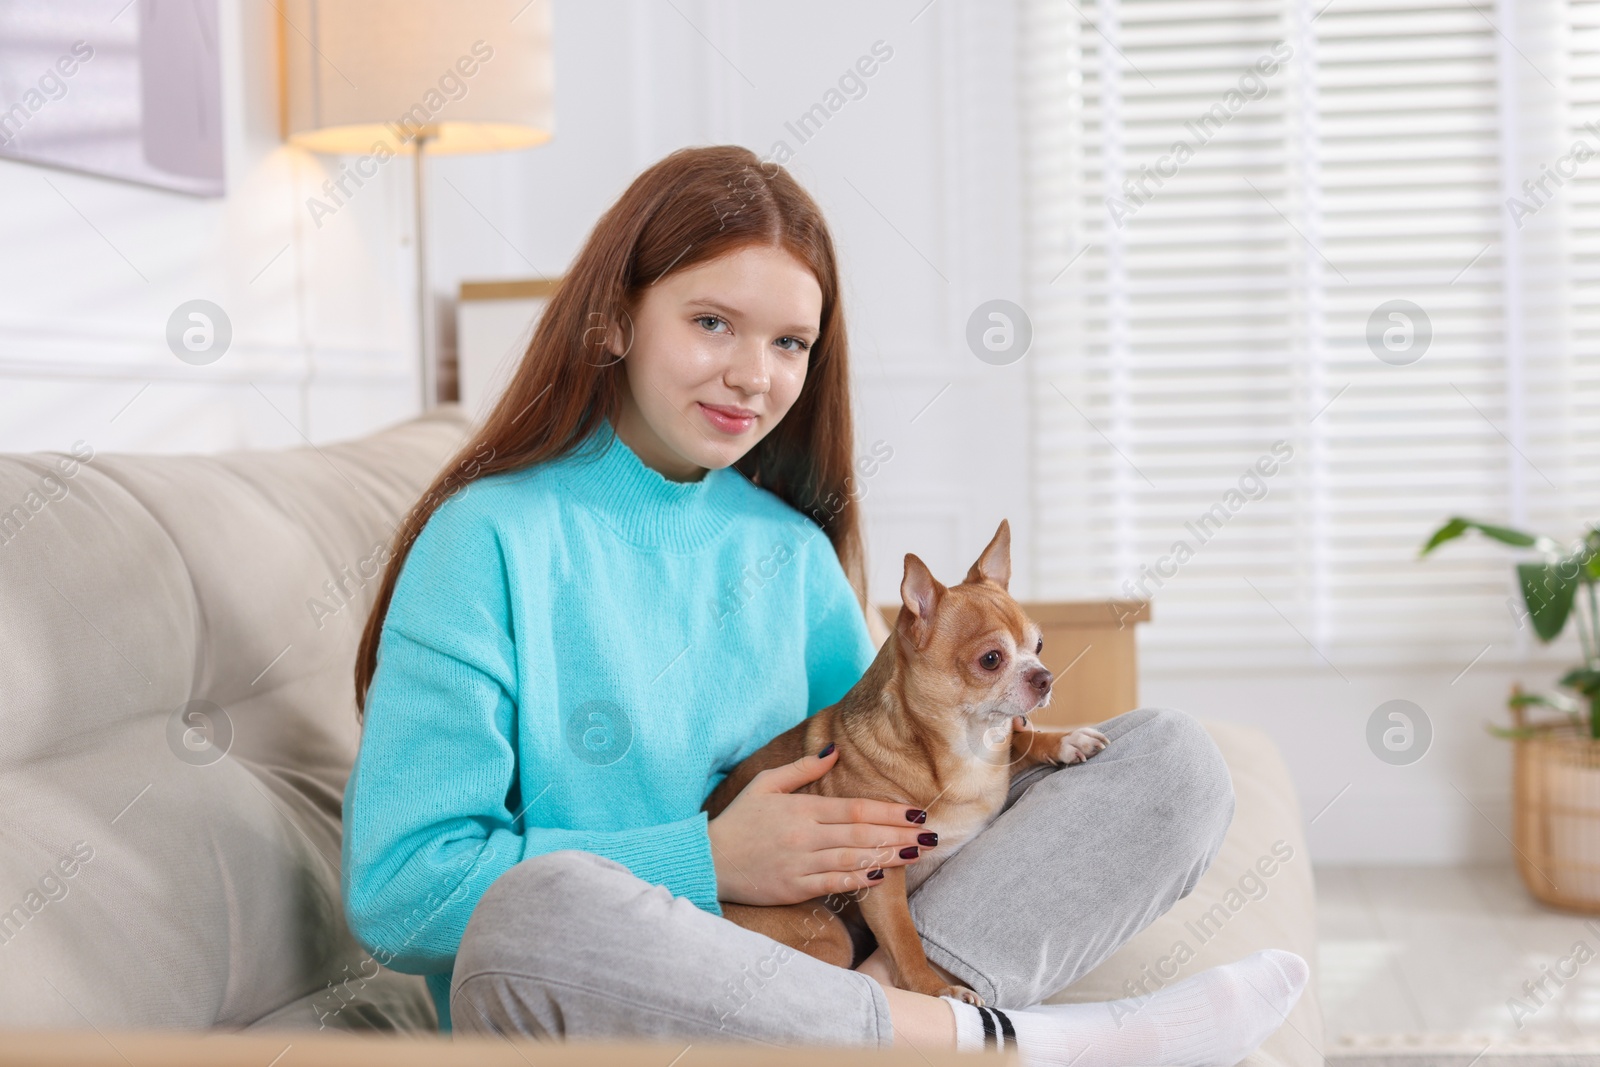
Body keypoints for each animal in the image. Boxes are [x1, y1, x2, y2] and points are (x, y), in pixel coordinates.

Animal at [707, 521, 1107, 1004]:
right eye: (991, 659)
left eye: (1040, 645)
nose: (1044, 676)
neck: (963, 749)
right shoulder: (881, 875)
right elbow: (904, 938)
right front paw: (933, 990)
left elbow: (1019, 738)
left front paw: (1063, 739)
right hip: (825, 936)